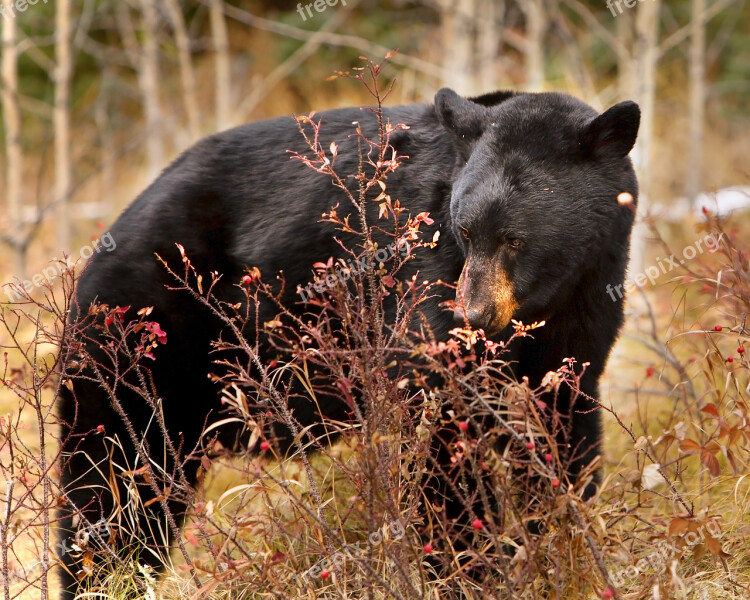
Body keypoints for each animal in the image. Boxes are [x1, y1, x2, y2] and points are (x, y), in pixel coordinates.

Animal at [58, 88, 640, 596]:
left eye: (515, 240)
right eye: (466, 230)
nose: (474, 315)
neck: (547, 300)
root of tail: (103, 244)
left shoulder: (590, 298)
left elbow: (563, 423)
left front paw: (559, 542)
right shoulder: (423, 275)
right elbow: (441, 433)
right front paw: (472, 568)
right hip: (143, 343)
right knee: (112, 483)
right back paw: (100, 578)